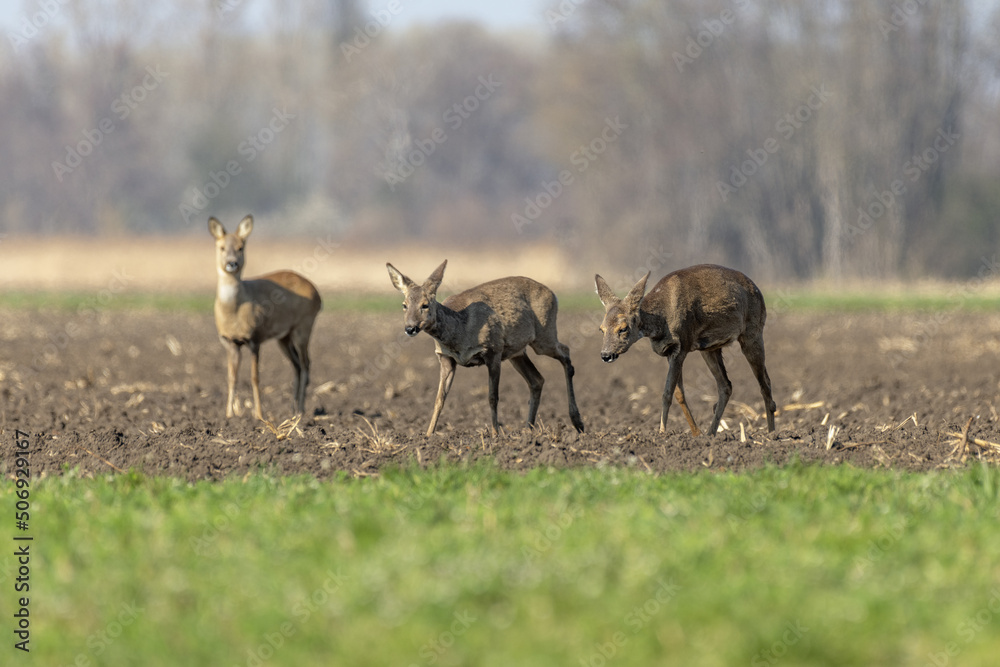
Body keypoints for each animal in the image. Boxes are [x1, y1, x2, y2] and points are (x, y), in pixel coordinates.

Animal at [208, 215, 322, 421]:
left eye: (241, 247)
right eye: (221, 247)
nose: (232, 263)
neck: (234, 312)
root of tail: (317, 294)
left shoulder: (255, 338)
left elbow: (255, 377)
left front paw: (259, 415)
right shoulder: (230, 341)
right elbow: (232, 377)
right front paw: (229, 415)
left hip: (304, 326)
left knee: (306, 364)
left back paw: (301, 411)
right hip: (284, 337)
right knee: (296, 365)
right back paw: (293, 409)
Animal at [386, 260, 585, 437]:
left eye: (425, 305)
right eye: (404, 305)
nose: (410, 328)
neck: (460, 330)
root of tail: (553, 294)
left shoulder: (493, 350)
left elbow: (492, 397)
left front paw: (496, 434)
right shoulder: (446, 358)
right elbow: (439, 398)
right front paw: (427, 436)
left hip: (544, 336)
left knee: (566, 352)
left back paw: (577, 422)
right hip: (517, 352)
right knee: (537, 379)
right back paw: (528, 430)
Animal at [595, 264, 776, 436]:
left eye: (623, 328)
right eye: (601, 329)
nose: (605, 355)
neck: (661, 323)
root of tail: (757, 290)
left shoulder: (681, 345)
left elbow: (668, 393)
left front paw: (662, 432)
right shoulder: (670, 352)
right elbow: (678, 393)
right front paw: (696, 433)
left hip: (752, 332)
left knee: (765, 383)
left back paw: (771, 433)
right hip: (710, 348)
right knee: (726, 385)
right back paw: (711, 433)